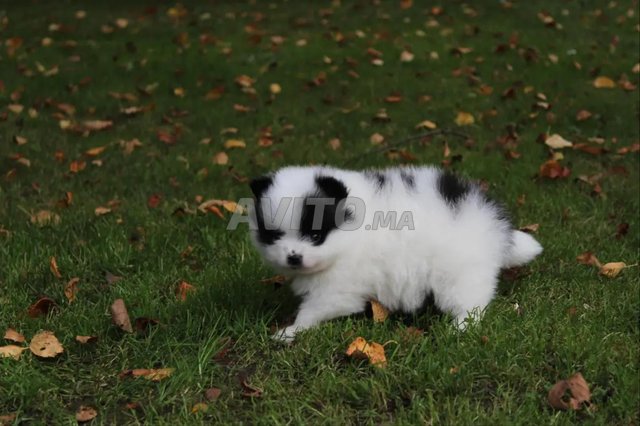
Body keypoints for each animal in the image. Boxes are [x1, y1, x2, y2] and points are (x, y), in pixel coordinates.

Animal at [249, 166, 542, 341]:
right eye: (274, 236)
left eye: (315, 237)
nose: (293, 257)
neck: (352, 235)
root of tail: (493, 224)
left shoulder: (338, 289)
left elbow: (313, 310)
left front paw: (290, 331)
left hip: (459, 272)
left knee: (470, 303)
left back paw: (460, 327)